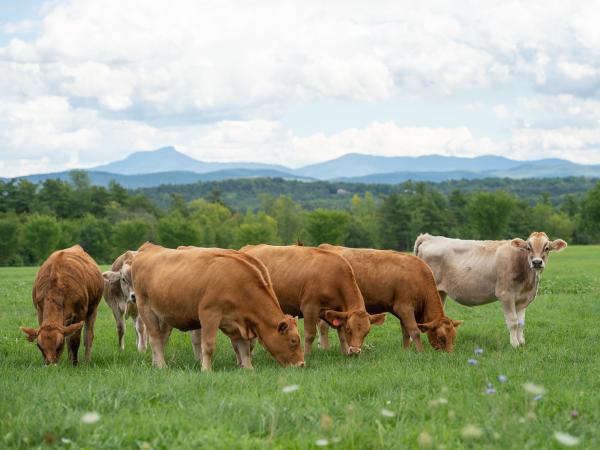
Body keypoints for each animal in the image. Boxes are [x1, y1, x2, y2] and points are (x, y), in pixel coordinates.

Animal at [129, 244, 302, 370]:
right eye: (293, 341)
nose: (301, 364)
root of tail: (149, 247)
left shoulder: (238, 320)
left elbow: (244, 347)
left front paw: (248, 368)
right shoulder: (209, 314)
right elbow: (208, 345)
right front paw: (206, 369)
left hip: (165, 315)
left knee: (162, 338)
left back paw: (156, 363)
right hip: (146, 309)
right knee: (155, 338)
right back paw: (162, 366)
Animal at [239, 244, 384, 356]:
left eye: (366, 332)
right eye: (350, 329)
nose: (355, 351)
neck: (334, 278)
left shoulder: (338, 312)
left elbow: (341, 334)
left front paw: (344, 353)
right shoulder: (310, 307)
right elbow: (310, 334)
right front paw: (306, 354)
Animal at [318, 246, 464, 352]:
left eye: (454, 337)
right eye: (441, 337)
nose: (449, 354)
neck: (419, 276)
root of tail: (326, 246)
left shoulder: (403, 312)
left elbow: (406, 332)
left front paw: (406, 351)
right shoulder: (404, 307)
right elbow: (414, 331)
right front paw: (420, 352)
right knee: (323, 326)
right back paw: (325, 349)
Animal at [414, 232, 564, 348]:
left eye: (547, 248)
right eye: (528, 247)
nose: (537, 262)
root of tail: (429, 237)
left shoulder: (523, 299)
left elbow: (521, 323)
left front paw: (521, 342)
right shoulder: (506, 295)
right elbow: (513, 322)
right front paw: (514, 344)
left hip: (440, 292)